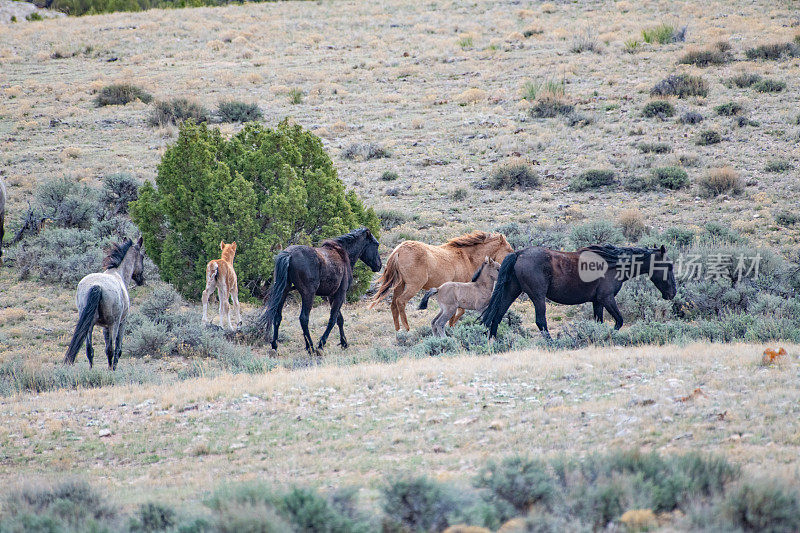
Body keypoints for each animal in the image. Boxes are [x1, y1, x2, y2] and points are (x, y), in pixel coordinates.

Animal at [63, 238, 145, 370]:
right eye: (142, 257)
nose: (141, 280)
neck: (118, 273)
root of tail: (97, 286)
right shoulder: (122, 323)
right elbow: (117, 349)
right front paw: (113, 368)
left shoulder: (104, 327)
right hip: (113, 324)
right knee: (111, 349)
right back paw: (110, 370)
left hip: (90, 325)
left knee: (89, 349)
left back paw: (91, 370)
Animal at [256, 227, 382, 356]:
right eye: (376, 244)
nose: (379, 265)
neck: (343, 254)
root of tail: (289, 255)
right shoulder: (340, 294)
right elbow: (333, 319)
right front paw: (321, 344)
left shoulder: (332, 296)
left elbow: (339, 319)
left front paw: (344, 343)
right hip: (308, 294)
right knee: (304, 318)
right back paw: (310, 347)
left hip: (284, 291)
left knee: (277, 317)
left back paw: (274, 346)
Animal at [368, 231, 512, 330]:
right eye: (509, 249)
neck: (467, 256)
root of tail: (398, 250)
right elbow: (459, 312)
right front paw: (451, 327)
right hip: (413, 286)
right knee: (400, 302)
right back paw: (407, 329)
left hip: (399, 285)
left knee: (393, 305)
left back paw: (398, 331)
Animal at [482, 244, 676, 338]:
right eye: (669, 265)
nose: (672, 293)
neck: (613, 264)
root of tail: (519, 254)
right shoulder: (607, 299)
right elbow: (619, 321)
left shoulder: (597, 302)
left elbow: (599, 322)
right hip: (537, 297)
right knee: (541, 322)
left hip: (511, 291)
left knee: (497, 316)